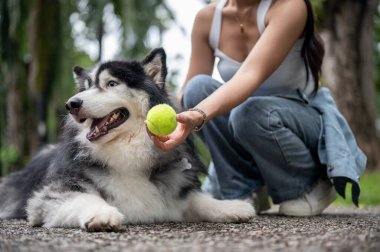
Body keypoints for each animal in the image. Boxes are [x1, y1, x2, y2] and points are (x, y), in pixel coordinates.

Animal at [0, 48, 255, 231]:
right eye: (86, 88)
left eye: (111, 84)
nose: (71, 104)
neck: (126, 150)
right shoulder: (48, 196)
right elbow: (84, 198)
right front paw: (102, 214)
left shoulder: (175, 190)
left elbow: (199, 199)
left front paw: (231, 206)